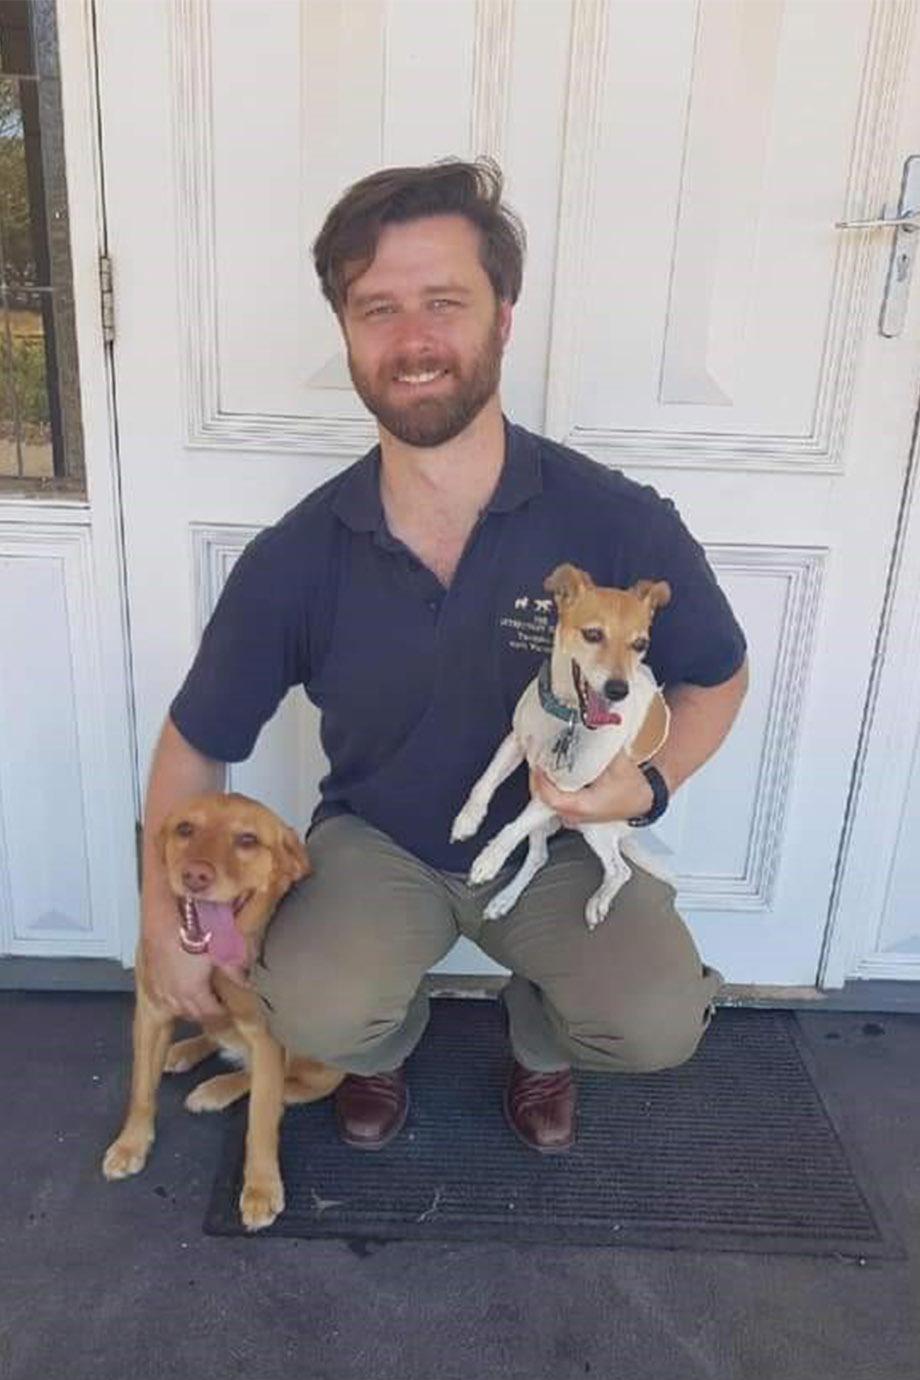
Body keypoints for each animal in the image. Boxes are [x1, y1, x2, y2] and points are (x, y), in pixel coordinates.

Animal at [100, 794, 343, 1236]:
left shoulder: (266, 1038)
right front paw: (131, 1143)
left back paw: (218, 1089)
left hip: (319, 1060)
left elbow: (261, 1118)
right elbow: (140, 1090)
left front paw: (261, 1187)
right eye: (185, 829)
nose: (195, 875)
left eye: (247, 840)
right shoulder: (151, 1013)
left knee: (275, 1083)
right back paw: (184, 1053)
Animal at [452, 565, 673, 932]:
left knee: (620, 871)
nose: (618, 691)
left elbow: (513, 827)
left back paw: (599, 902)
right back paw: (504, 900)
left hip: (594, 825)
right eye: (593, 634)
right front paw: (467, 821)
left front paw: (489, 860)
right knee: (539, 856)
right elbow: (483, 783)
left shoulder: (560, 792)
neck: (567, 717)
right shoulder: (514, 742)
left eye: (640, 644)